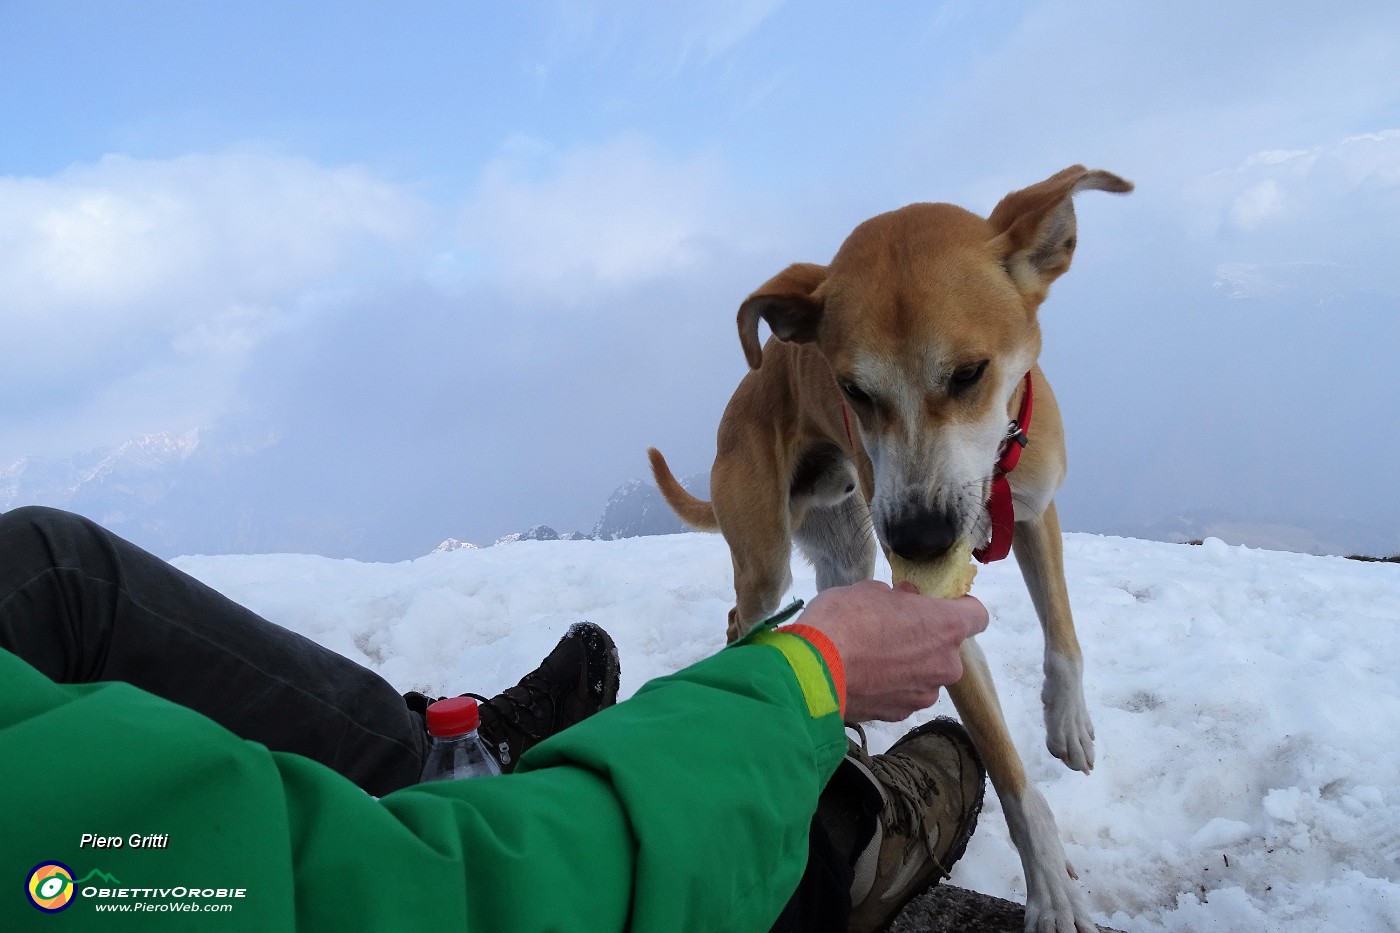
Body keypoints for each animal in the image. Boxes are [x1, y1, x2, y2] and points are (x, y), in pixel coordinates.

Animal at [649, 167, 1131, 930]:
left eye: (969, 373)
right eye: (852, 389)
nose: (921, 538)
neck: (991, 477)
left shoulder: (1036, 507)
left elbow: (1062, 628)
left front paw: (1068, 719)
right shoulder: (937, 612)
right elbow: (1008, 769)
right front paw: (1052, 887)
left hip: (848, 548)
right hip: (766, 551)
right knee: (743, 615)